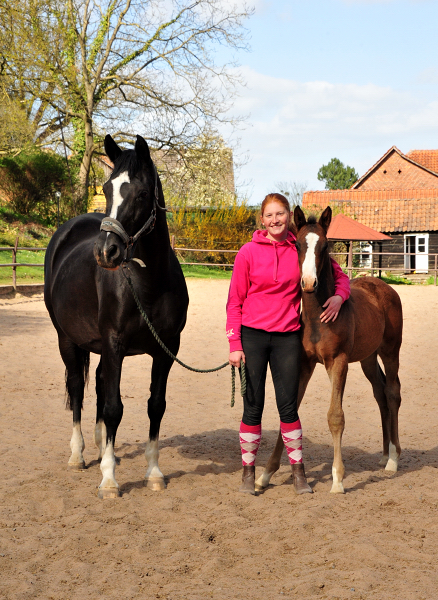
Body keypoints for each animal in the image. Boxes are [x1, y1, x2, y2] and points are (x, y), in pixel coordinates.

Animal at [44, 135, 188, 496]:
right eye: (107, 189)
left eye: (142, 194)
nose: (105, 252)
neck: (148, 284)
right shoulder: (114, 343)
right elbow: (113, 408)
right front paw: (108, 480)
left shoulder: (166, 350)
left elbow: (155, 406)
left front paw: (153, 472)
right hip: (68, 340)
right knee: (77, 387)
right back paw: (79, 455)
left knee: (97, 381)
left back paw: (99, 447)